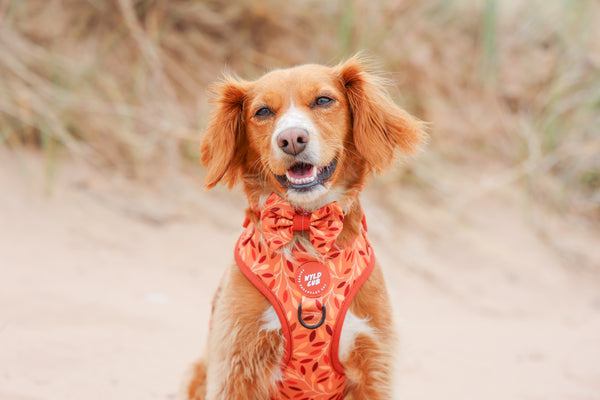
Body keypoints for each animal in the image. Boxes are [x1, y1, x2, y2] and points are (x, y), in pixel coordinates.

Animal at [185, 54, 424, 400]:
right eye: (263, 111)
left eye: (323, 100)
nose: (292, 139)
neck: (306, 226)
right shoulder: (236, 364)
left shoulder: (374, 364)